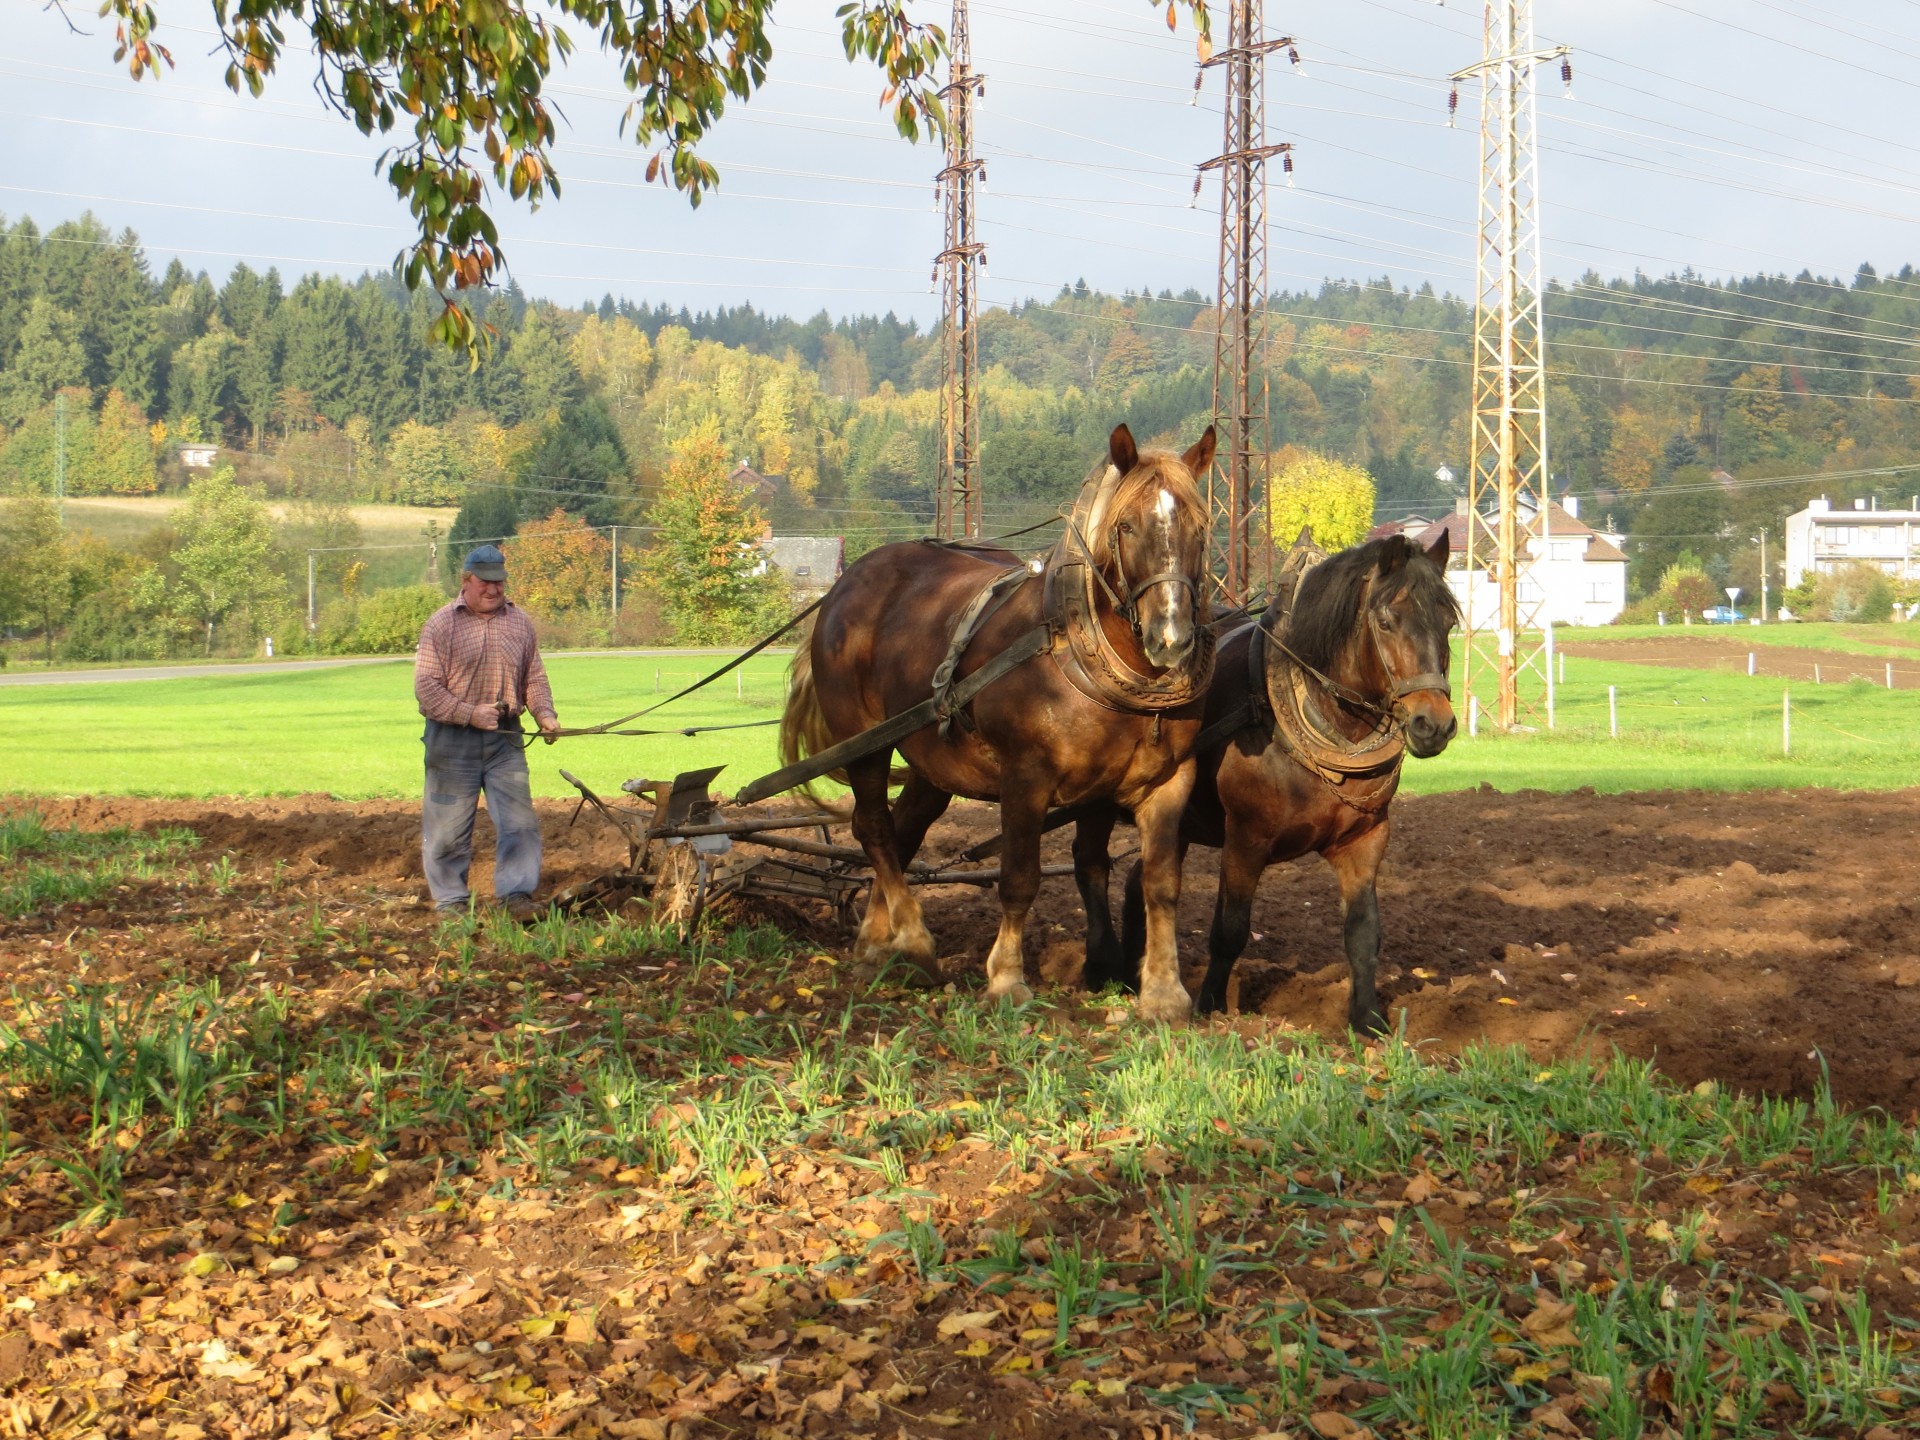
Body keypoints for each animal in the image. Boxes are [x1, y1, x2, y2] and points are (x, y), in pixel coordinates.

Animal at [779, 422, 1213, 1021]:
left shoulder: (1162, 782)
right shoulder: (1025, 778)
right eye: (1126, 526)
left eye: (1201, 526)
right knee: (873, 828)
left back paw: (876, 944)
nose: (1170, 638)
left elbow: (1157, 881)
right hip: (863, 742)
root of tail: (845, 585)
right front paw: (1007, 979)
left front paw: (1164, 992)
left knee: (902, 831)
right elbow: (1019, 879)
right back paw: (912, 941)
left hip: (932, 763)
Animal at [1098, 529, 1451, 1036]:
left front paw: (1367, 1019)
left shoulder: (1366, 840)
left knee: (1136, 884)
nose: (1434, 724)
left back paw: (1132, 978)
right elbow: (1230, 929)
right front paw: (1210, 1005)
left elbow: (1363, 933)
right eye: (1386, 620)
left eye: (1450, 621)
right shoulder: (1245, 840)